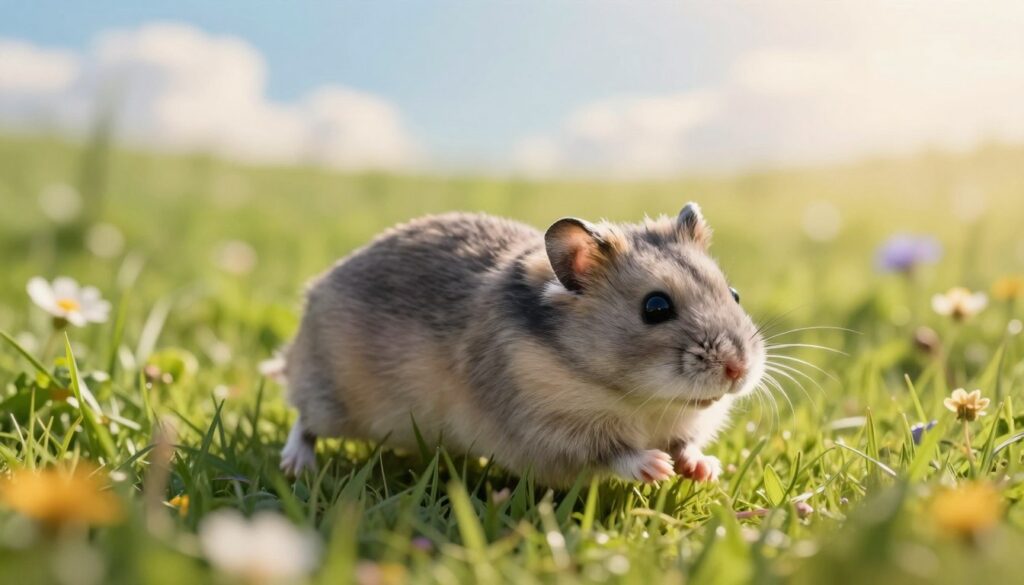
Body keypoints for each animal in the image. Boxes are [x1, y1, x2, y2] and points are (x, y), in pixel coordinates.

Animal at [279, 203, 766, 487]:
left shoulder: (682, 426)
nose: (738, 370)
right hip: (330, 398)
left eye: (735, 294)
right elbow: (614, 452)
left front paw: (704, 471)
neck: (638, 398)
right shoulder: (549, 431)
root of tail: (317, 289)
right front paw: (656, 470)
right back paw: (294, 466)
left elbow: (686, 445)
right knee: (303, 420)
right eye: (656, 307)